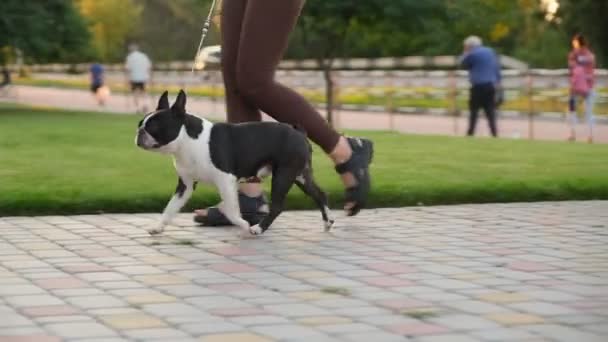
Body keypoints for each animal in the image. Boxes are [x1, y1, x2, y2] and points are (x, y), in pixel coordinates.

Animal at [134, 89, 332, 236]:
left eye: (154, 127)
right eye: (140, 124)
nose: (139, 133)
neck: (187, 141)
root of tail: (299, 132)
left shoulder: (225, 180)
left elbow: (230, 210)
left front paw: (242, 224)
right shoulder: (185, 186)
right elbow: (170, 207)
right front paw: (158, 227)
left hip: (284, 174)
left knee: (277, 206)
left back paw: (258, 228)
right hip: (301, 175)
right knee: (320, 194)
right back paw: (328, 221)